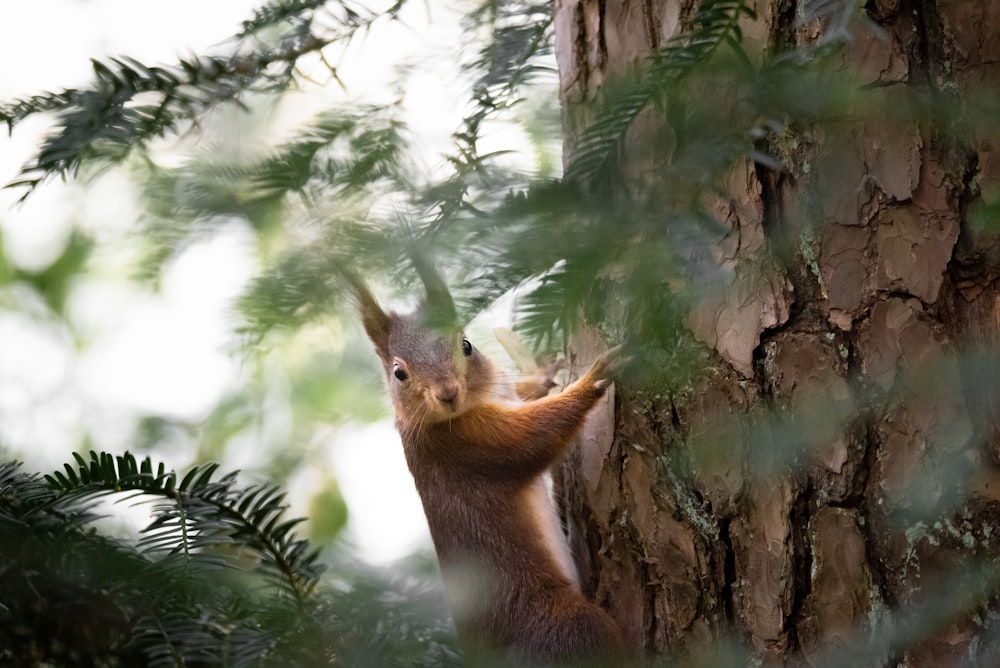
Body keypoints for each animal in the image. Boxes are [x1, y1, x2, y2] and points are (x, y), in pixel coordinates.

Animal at [352, 268, 624, 664]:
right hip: (565, 626)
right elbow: (534, 436)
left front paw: (545, 371)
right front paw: (594, 378)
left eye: (466, 344)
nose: (447, 393)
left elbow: (526, 392)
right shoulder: (468, 445)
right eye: (399, 373)